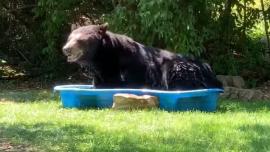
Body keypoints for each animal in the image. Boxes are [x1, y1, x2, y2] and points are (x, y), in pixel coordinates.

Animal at [62, 24, 223, 90]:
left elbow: (116, 81)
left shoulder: (128, 66)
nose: (66, 49)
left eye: (80, 40)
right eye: (70, 37)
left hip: (179, 66)